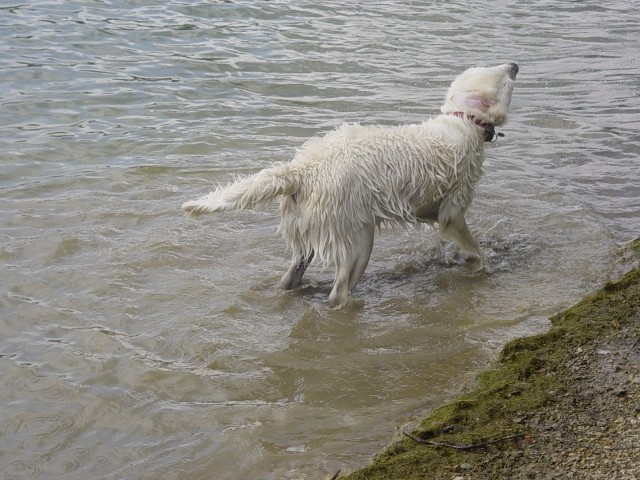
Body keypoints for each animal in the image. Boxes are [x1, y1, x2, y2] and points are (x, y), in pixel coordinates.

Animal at [182, 63, 516, 306]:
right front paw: (483, 263)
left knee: (292, 273)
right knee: (339, 291)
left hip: (308, 227)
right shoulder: (452, 211)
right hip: (357, 238)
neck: (462, 121)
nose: (514, 65)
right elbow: (470, 243)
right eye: (504, 80)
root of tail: (301, 169)